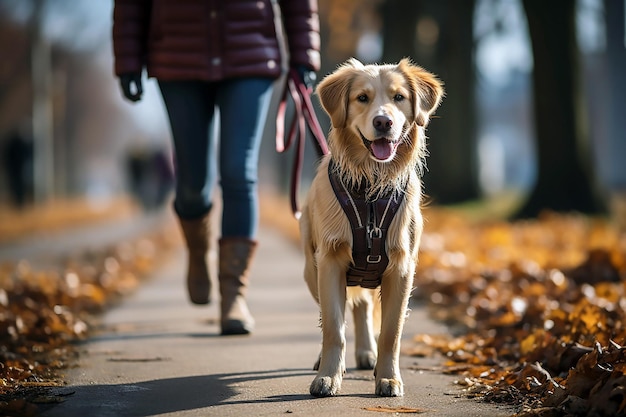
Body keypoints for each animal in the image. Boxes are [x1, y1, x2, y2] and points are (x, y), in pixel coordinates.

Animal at [300, 58, 442, 396]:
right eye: (362, 98)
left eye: (399, 97)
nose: (383, 122)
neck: (370, 187)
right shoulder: (330, 260)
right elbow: (333, 327)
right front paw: (328, 375)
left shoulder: (401, 267)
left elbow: (391, 333)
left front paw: (388, 377)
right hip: (311, 269)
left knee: (362, 306)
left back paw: (368, 353)